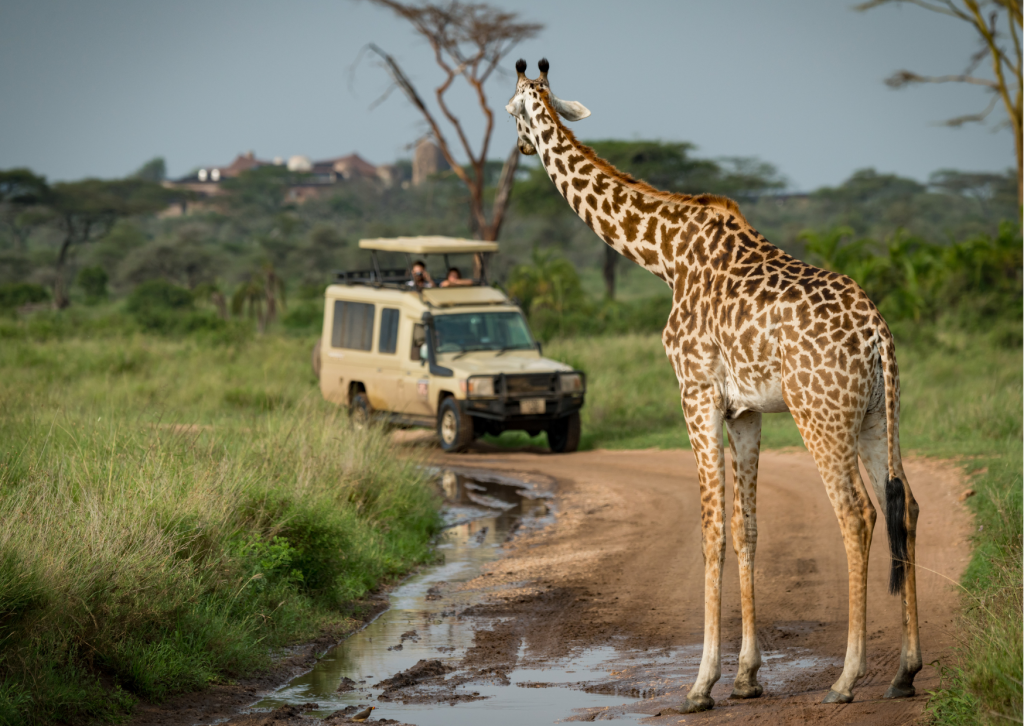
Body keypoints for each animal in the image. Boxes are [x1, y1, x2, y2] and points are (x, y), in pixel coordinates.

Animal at [506, 58, 921, 712]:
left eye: (508, 110)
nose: (520, 146)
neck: (665, 255)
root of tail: (877, 333)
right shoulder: (744, 411)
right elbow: (747, 529)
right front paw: (748, 677)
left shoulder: (695, 393)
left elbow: (711, 530)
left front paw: (701, 684)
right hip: (879, 414)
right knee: (904, 506)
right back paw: (905, 672)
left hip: (821, 413)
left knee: (857, 515)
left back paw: (846, 680)